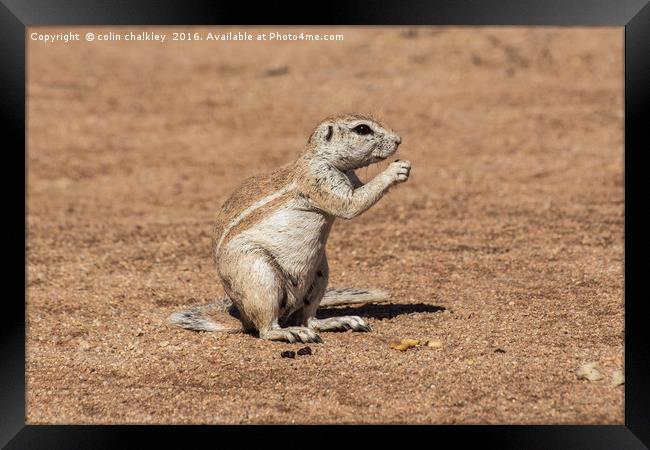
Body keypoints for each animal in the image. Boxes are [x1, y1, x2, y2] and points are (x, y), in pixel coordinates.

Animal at [168, 114, 410, 342]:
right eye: (362, 129)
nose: (399, 140)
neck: (320, 158)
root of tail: (241, 316)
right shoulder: (318, 179)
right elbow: (351, 205)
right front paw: (396, 170)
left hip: (320, 274)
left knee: (309, 318)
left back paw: (338, 321)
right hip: (259, 275)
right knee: (267, 328)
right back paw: (290, 333)